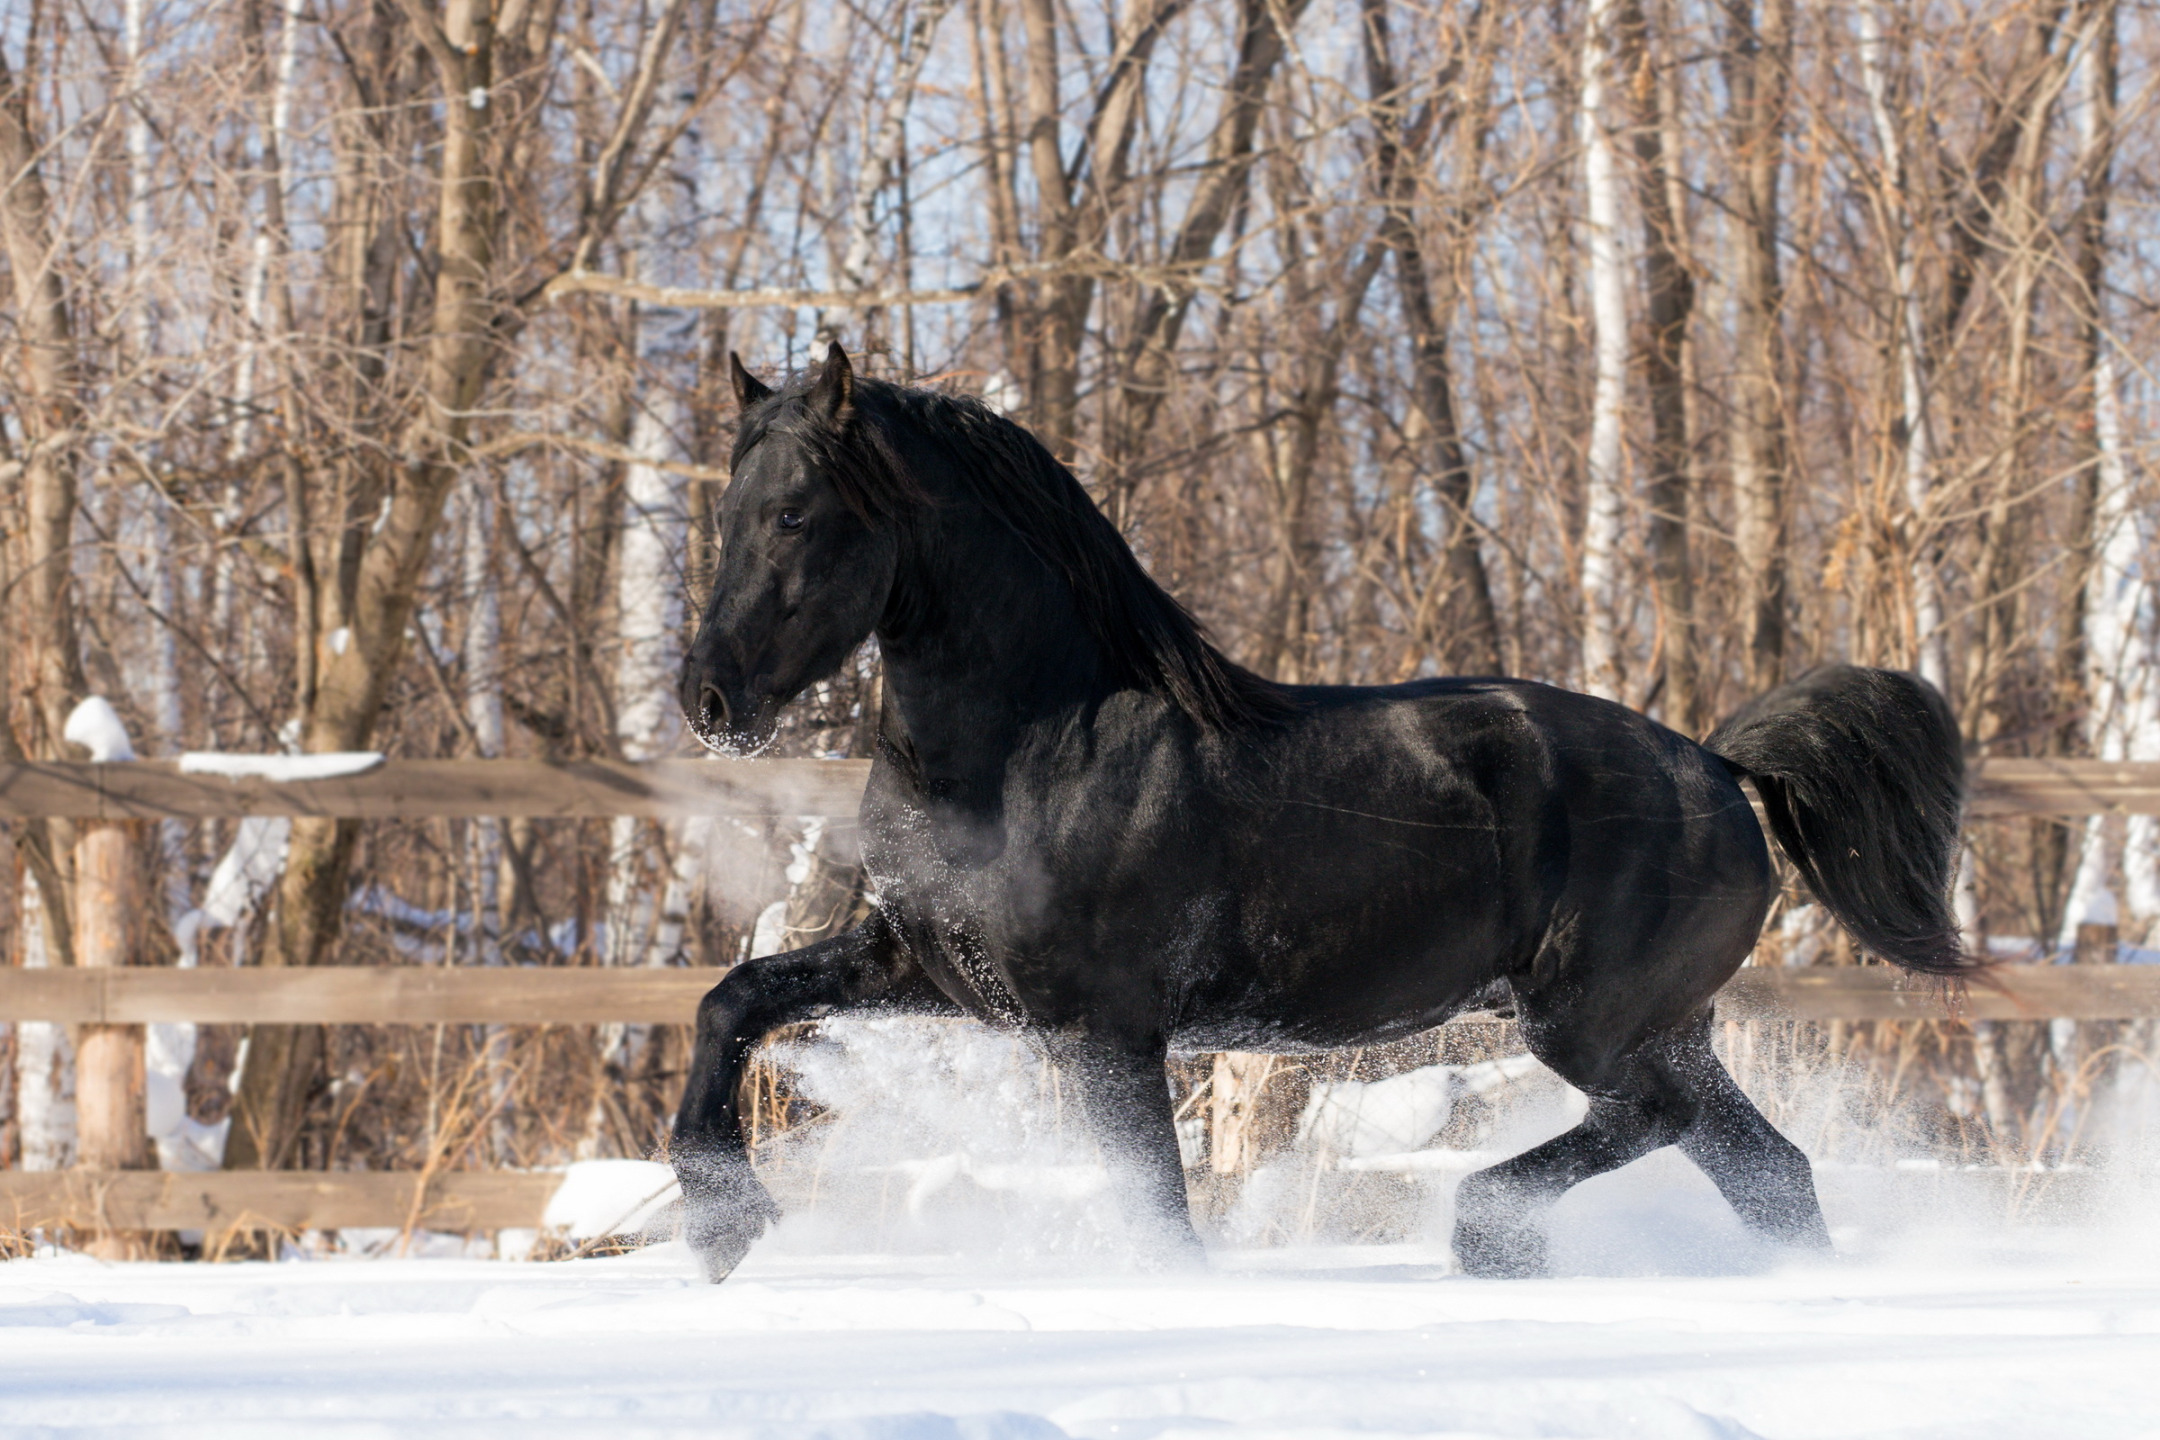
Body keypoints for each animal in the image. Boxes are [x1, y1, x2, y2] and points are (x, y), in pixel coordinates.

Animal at [673, 341, 1978, 1286]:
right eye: (731, 512)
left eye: (796, 515)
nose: (709, 698)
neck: (1029, 750)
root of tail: (1716, 764)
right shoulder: (930, 970)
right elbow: (734, 999)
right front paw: (719, 1222)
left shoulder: (1105, 1029)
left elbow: (1157, 1211)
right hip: (1666, 1027)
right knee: (1770, 1173)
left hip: (1594, 1022)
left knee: (1655, 1121)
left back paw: (1488, 1234)